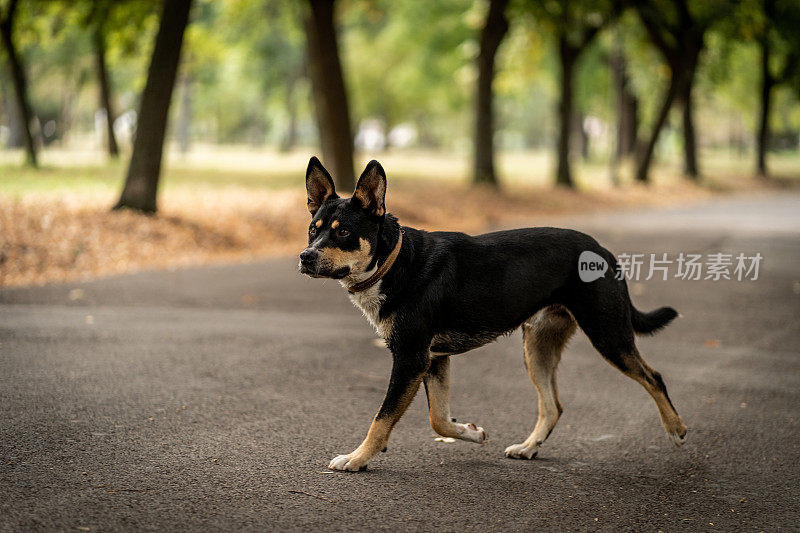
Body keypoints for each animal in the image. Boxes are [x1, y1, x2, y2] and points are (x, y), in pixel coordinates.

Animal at [300, 156, 688, 472]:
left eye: (344, 232)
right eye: (312, 231)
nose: (305, 257)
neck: (395, 262)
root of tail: (602, 250)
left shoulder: (411, 358)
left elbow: (381, 419)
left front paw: (357, 459)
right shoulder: (433, 359)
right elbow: (438, 419)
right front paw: (471, 432)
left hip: (607, 333)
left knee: (654, 377)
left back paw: (676, 429)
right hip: (537, 346)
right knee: (552, 406)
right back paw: (529, 447)